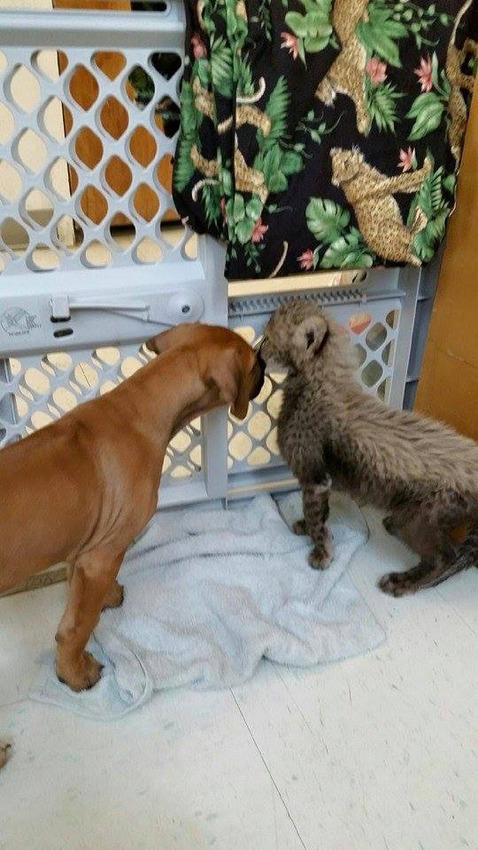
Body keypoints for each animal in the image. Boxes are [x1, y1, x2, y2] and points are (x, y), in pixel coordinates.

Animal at [0, 324, 266, 688]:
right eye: (253, 364)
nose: (266, 364)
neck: (137, 407)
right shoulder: (101, 556)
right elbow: (78, 626)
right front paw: (74, 672)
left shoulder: (86, 547)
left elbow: (77, 598)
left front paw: (107, 596)